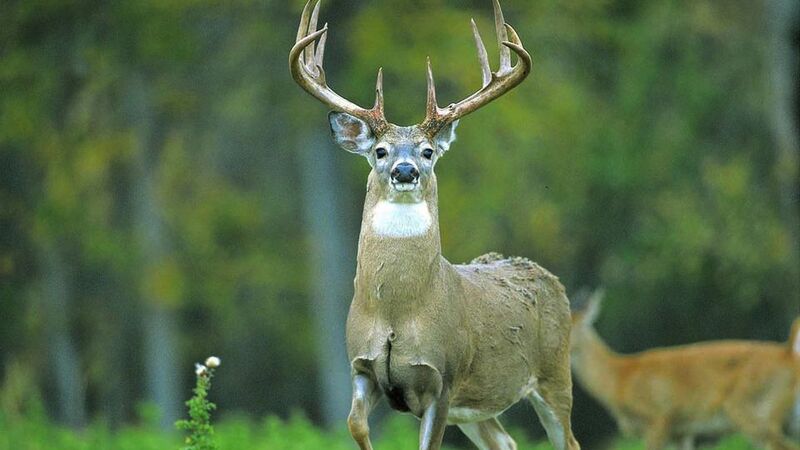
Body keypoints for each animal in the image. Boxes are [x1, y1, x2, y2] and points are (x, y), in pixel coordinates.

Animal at [289, 1, 580, 449]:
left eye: (428, 151)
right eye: (380, 150)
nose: (405, 170)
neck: (397, 311)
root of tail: (546, 276)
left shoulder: (444, 379)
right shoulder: (360, 367)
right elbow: (354, 424)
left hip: (554, 373)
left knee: (567, 438)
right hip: (478, 408)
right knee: (506, 441)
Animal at [571, 290, 800, 450]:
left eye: (572, 325)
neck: (619, 378)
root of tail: (789, 354)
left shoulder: (658, 418)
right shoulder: (682, 430)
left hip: (757, 410)